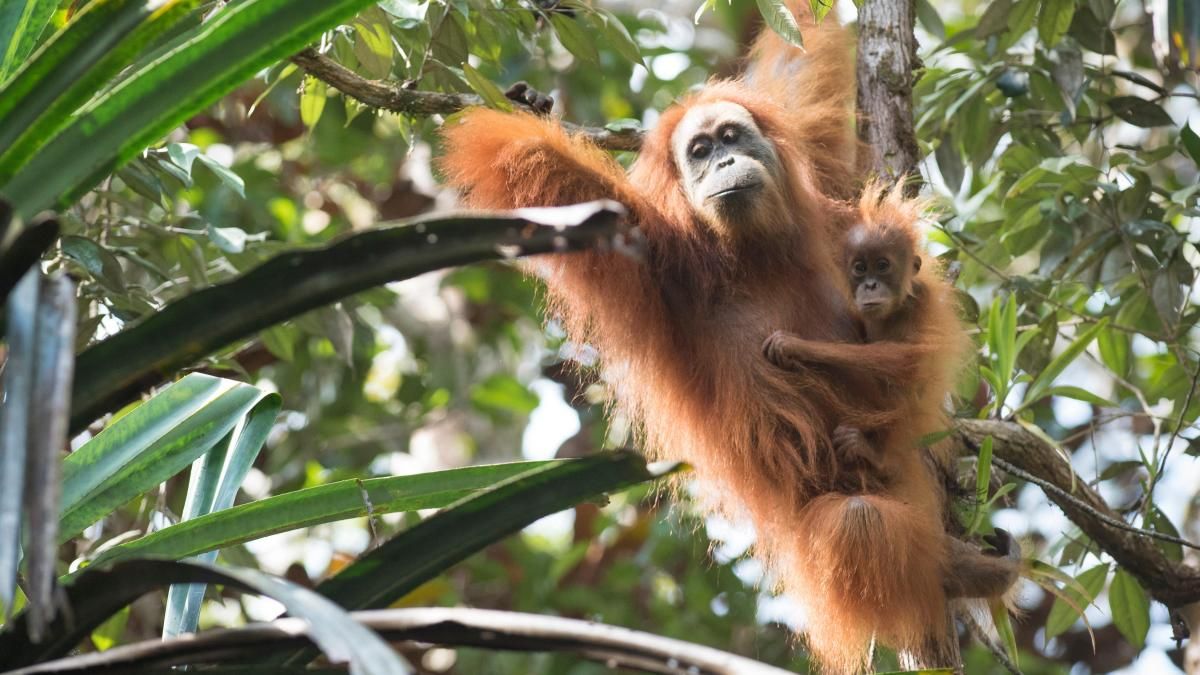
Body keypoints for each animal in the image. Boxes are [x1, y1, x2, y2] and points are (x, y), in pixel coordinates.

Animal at [438, 5, 1020, 671]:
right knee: (857, 524)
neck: (754, 251)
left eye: (733, 138)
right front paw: (526, 110)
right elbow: (551, 177)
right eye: (699, 150)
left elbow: (799, 73)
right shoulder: (655, 253)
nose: (722, 163)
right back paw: (954, 573)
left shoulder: (819, 190)